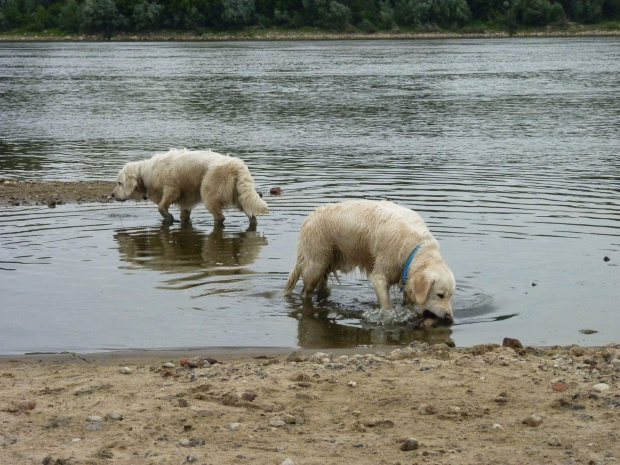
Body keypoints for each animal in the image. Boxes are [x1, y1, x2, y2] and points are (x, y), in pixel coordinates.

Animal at [111, 149, 268, 225]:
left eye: (119, 183)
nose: (112, 195)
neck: (146, 173)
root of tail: (238, 166)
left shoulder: (171, 188)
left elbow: (161, 207)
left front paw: (168, 217)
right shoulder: (186, 202)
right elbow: (184, 214)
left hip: (210, 192)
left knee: (220, 217)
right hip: (240, 196)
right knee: (252, 214)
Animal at [282, 199, 456, 326]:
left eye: (450, 296)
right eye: (440, 295)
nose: (449, 317)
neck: (416, 249)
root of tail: (310, 216)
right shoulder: (380, 275)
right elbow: (387, 304)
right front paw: (389, 317)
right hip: (315, 265)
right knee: (305, 291)